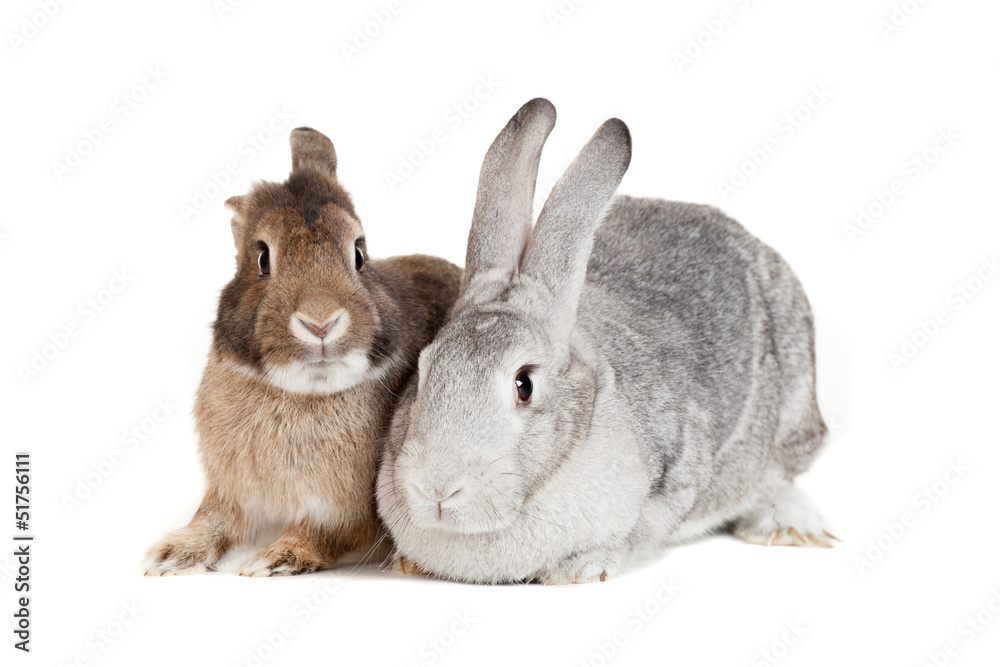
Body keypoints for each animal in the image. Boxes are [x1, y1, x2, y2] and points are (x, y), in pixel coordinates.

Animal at [144, 127, 461, 576]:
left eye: (359, 253)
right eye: (263, 258)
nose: (321, 322)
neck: (304, 391)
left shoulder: (352, 513)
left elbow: (322, 534)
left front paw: (274, 558)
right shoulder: (232, 493)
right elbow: (212, 521)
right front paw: (171, 554)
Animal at [375, 98, 833, 585]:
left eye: (524, 384)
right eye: (424, 370)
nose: (436, 488)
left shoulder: (678, 470)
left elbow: (642, 529)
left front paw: (581, 569)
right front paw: (407, 563)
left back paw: (790, 525)